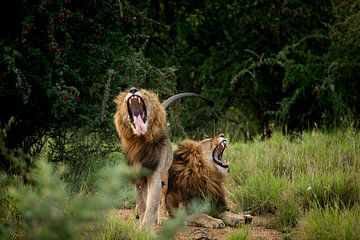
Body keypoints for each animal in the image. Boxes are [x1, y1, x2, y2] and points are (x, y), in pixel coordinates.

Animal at [114, 87, 212, 228]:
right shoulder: (137, 178)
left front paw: (146, 228)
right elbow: (142, 203)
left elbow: (152, 203)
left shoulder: (155, 174)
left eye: (144, 93)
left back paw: (161, 218)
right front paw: (141, 222)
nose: (133, 90)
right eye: (128, 91)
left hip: (165, 174)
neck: (140, 142)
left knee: (162, 196)